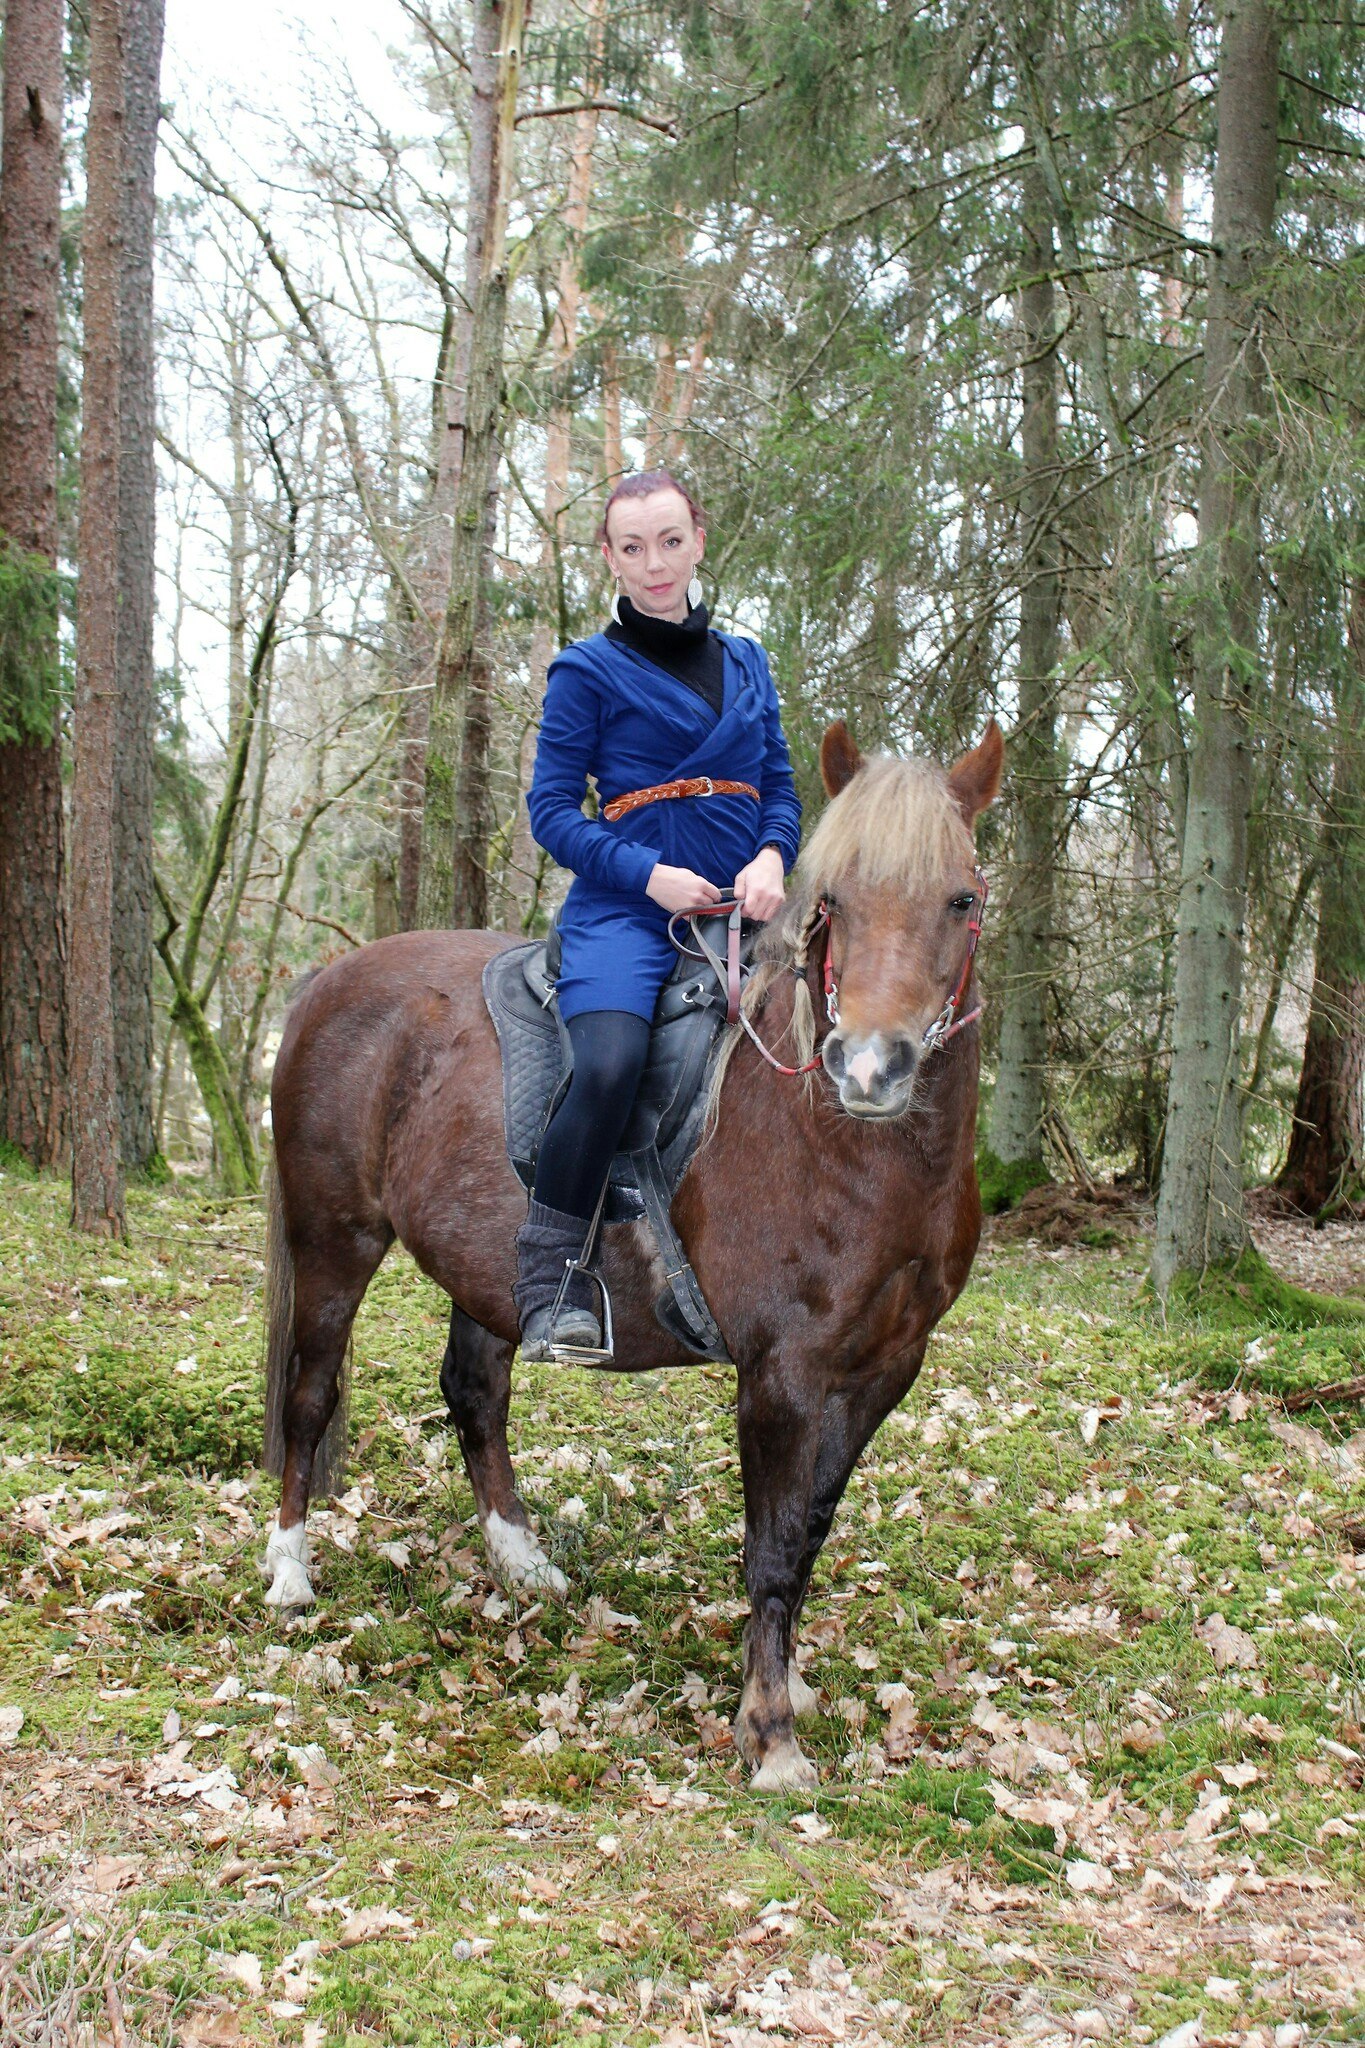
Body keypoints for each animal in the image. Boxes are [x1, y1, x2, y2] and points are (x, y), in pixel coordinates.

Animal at [258, 720, 1002, 1794]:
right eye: (834, 903)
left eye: (961, 899)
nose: (869, 1069)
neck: (844, 1145)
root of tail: (329, 982)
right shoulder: (781, 1375)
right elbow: (770, 1545)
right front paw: (770, 1734)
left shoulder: (882, 1371)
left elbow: (809, 1532)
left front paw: (786, 1683)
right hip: (334, 1242)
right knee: (309, 1395)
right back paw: (289, 1571)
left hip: (490, 1272)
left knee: (473, 1391)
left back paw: (521, 1563)